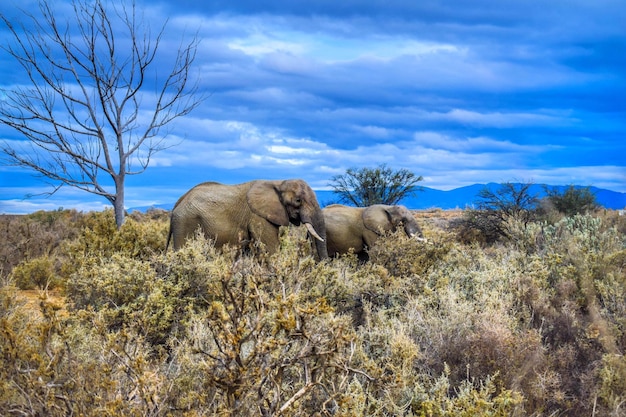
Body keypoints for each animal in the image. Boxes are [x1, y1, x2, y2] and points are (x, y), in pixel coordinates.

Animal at [163, 179, 330, 260]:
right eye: (298, 201)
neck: (277, 182)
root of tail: (178, 203)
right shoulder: (258, 216)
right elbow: (271, 247)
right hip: (185, 222)